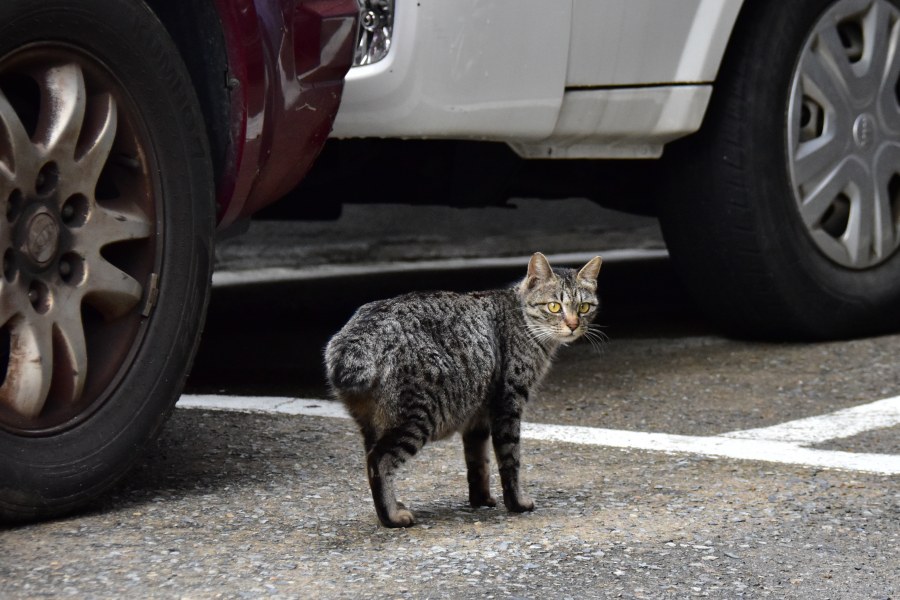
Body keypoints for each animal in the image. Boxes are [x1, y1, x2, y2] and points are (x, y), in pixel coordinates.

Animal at [324, 251, 604, 528]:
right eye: (554, 306)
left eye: (584, 307)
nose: (573, 325)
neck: (521, 319)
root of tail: (356, 337)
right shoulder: (508, 404)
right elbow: (510, 460)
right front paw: (516, 503)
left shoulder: (478, 417)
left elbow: (478, 463)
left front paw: (482, 499)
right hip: (419, 416)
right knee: (378, 461)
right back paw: (391, 517)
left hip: (373, 423)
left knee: (370, 459)